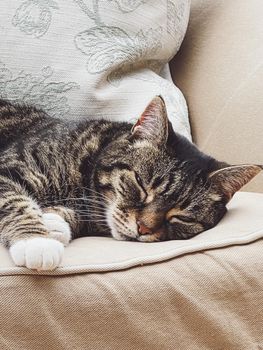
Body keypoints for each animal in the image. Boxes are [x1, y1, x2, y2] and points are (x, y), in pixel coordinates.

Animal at [0, 96, 262, 270]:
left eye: (182, 217)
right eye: (141, 185)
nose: (143, 229)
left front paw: (55, 222)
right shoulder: (9, 167)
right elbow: (16, 202)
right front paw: (36, 241)